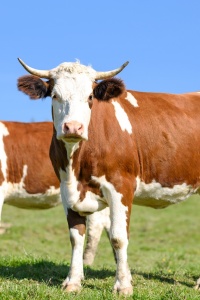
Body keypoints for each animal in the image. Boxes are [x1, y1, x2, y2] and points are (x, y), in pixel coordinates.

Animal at [17, 58, 200, 296]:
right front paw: (73, 281)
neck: (78, 161)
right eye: (55, 95)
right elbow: (76, 236)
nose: (73, 127)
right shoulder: (66, 188)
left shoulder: (121, 186)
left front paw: (123, 285)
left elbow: (118, 237)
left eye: (90, 97)